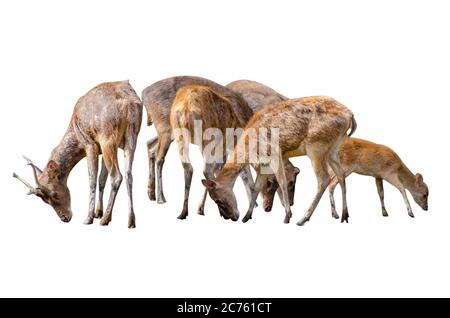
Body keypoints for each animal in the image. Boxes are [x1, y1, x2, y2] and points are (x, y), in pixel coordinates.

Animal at [12, 80, 142, 227]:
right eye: (45, 200)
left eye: (54, 194)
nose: (64, 218)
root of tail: (129, 103)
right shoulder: (103, 149)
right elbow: (101, 179)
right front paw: (98, 212)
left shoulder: (90, 144)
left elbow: (92, 179)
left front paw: (90, 218)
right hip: (132, 137)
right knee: (128, 175)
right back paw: (131, 220)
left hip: (107, 138)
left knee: (116, 176)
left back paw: (105, 219)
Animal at [202, 95, 356, 225]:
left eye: (217, 200)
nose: (230, 217)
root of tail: (350, 116)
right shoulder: (262, 166)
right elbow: (255, 188)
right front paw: (247, 216)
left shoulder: (275, 154)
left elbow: (282, 182)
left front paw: (287, 216)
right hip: (334, 149)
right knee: (341, 174)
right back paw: (344, 215)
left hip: (316, 147)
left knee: (324, 179)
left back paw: (303, 219)